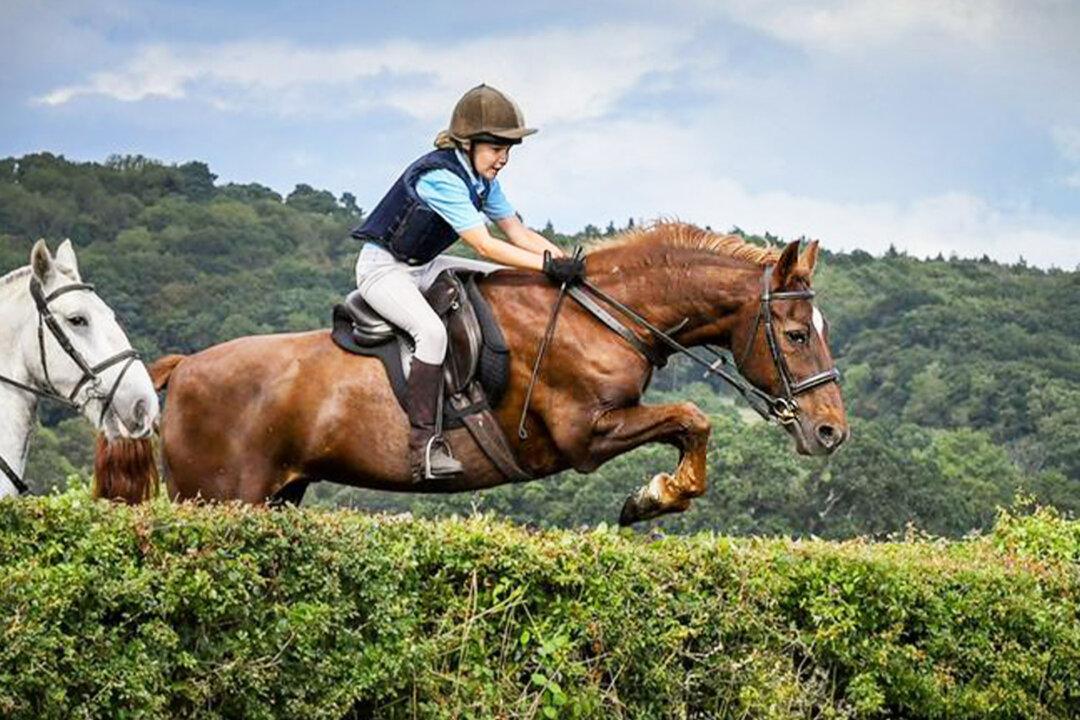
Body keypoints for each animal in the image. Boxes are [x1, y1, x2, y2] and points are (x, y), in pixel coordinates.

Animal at [97, 223, 848, 524]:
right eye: (794, 335)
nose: (831, 432)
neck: (605, 315)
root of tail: (183, 369)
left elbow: (690, 426)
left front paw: (656, 495)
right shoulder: (585, 434)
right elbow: (694, 419)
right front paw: (652, 498)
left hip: (275, 497)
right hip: (217, 497)